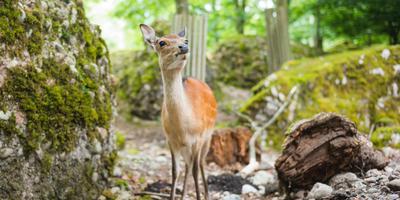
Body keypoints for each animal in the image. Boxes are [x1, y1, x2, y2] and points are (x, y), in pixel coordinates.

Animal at [140, 23, 217, 198]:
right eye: (162, 42)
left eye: (186, 40)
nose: (184, 47)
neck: (183, 128)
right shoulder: (170, 140)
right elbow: (175, 171)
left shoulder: (198, 138)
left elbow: (195, 170)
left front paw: (199, 196)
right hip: (186, 147)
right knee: (188, 166)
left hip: (209, 136)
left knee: (200, 163)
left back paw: (207, 194)